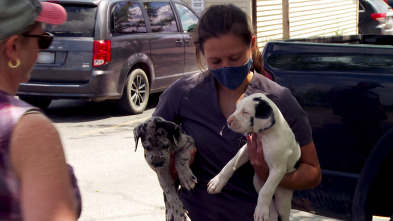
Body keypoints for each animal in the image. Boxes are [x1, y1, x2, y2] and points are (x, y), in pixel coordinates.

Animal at [205, 93, 300, 221]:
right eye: (236, 108)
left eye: (245, 112)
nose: (228, 121)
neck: (266, 135)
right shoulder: (246, 150)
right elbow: (231, 164)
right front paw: (217, 181)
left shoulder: (278, 169)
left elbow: (266, 190)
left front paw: (260, 211)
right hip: (257, 182)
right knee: (270, 205)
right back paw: (267, 213)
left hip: (283, 199)